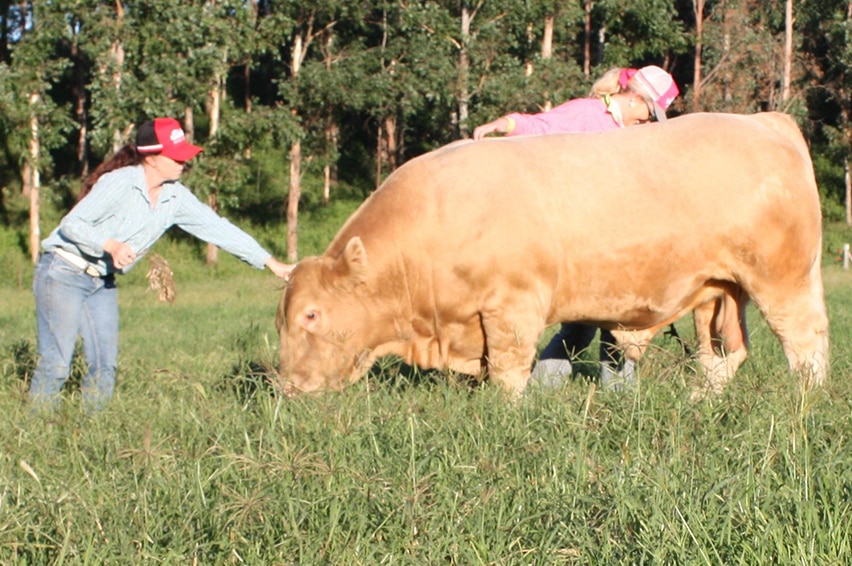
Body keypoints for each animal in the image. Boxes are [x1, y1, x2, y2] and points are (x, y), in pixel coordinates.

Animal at [276, 113, 828, 400]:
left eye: (312, 314)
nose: (287, 386)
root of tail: (762, 120)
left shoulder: (512, 307)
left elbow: (509, 370)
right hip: (718, 291)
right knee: (726, 352)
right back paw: (701, 399)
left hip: (782, 280)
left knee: (806, 342)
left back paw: (808, 399)